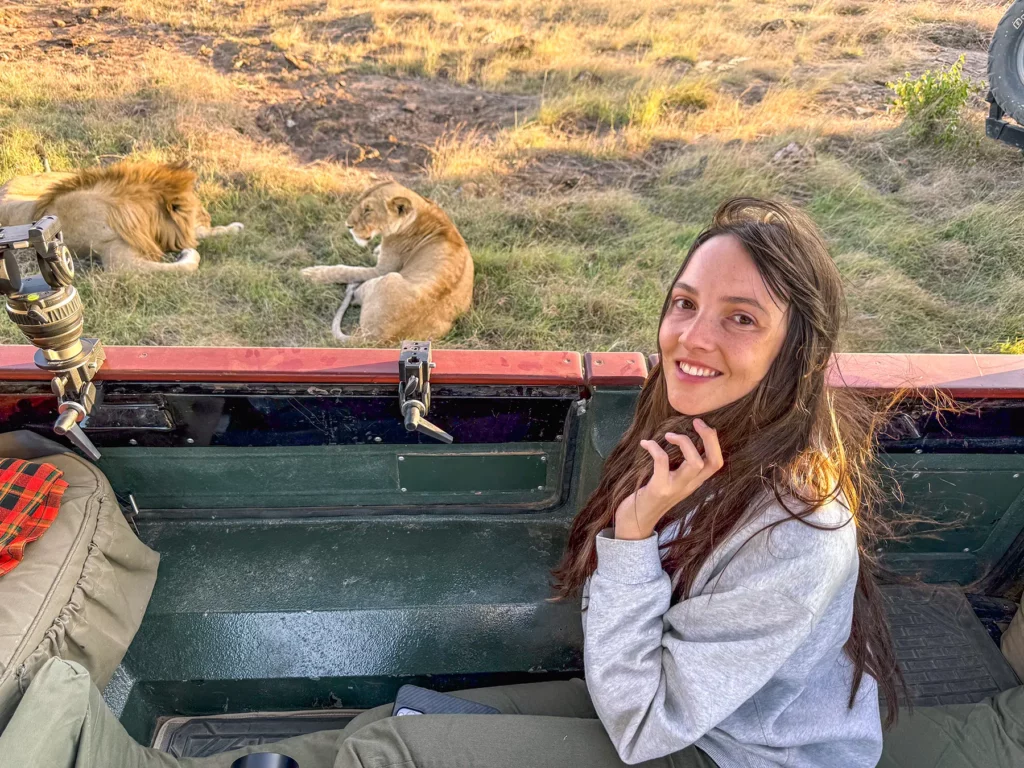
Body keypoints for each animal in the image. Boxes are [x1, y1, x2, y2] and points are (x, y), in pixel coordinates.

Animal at [0, 160, 243, 274]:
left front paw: (229, 229)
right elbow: (186, 264)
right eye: (200, 210)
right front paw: (188, 252)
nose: (208, 216)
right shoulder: (118, 261)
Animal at [301, 181, 474, 343]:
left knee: (353, 294)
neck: (421, 210)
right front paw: (376, 250)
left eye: (368, 210)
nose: (348, 226)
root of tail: (373, 336)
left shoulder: (382, 269)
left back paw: (352, 286)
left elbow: (345, 270)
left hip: (387, 277)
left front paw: (309, 274)